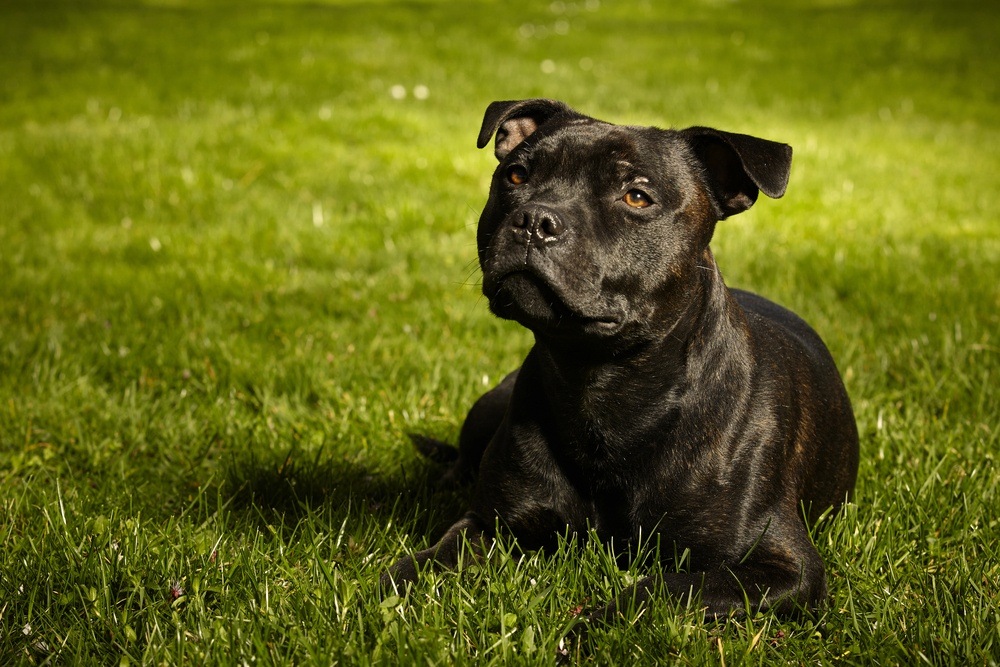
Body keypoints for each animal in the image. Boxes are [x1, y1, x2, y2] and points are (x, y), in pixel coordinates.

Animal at [382, 100, 860, 628]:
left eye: (636, 197)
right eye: (516, 175)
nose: (535, 219)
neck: (601, 386)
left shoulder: (783, 565)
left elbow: (663, 590)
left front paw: (583, 626)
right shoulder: (491, 525)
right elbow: (430, 558)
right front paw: (390, 586)